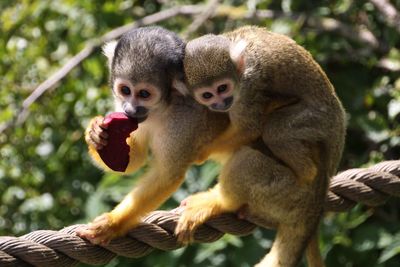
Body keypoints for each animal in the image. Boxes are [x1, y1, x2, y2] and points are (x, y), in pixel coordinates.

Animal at [76, 26, 230, 245]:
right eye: (125, 90)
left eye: (144, 94)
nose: (131, 109)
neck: (164, 107)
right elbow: (134, 159)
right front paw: (95, 133)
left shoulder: (183, 122)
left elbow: (167, 175)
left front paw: (112, 224)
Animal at [176, 25, 346, 267]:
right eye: (207, 95)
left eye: (223, 88)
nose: (221, 103)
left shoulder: (248, 85)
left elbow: (250, 127)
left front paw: (199, 153)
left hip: (315, 132)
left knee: (267, 139)